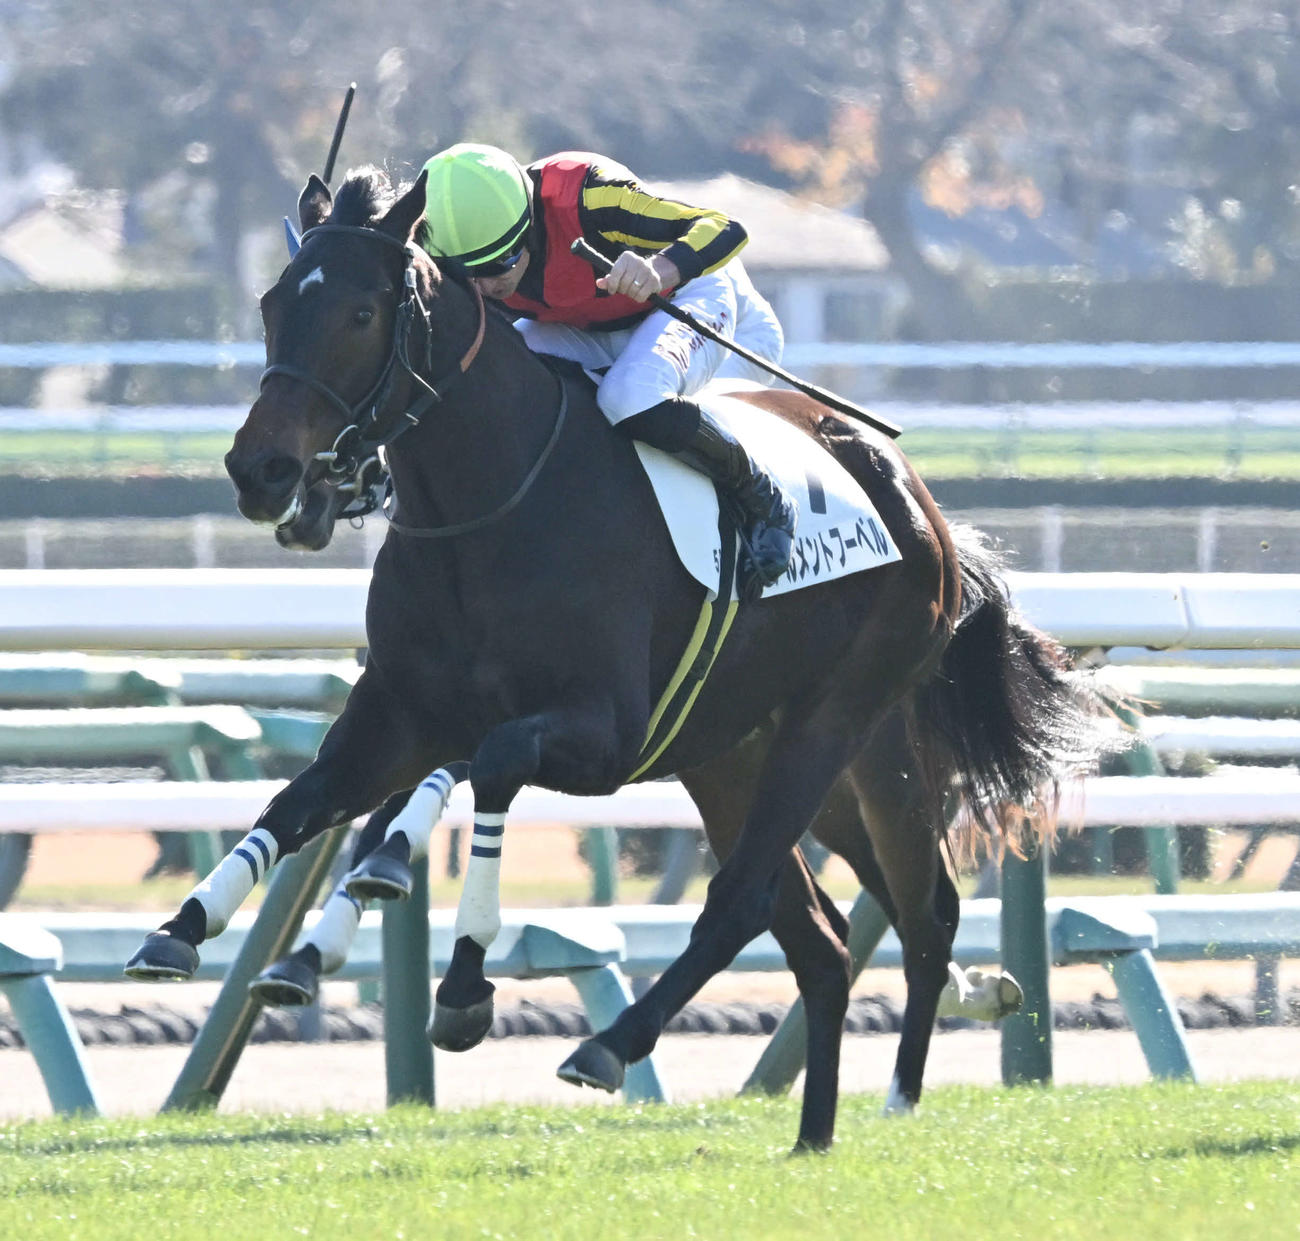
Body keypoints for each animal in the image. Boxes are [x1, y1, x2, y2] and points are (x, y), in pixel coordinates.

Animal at [125, 166, 1097, 1151]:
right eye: (272, 301)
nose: (263, 471)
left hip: (833, 725)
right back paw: (813, 1133)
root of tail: (921, 505)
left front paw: (463, 983)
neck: (492, 504)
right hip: (734, 753)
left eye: (361, 312)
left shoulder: (604, 735)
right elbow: (300, 801)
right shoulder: (403, 716)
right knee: (824, 935)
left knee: (767, 902)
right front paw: (185, 927)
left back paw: (621, 1045)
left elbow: (494, 765)